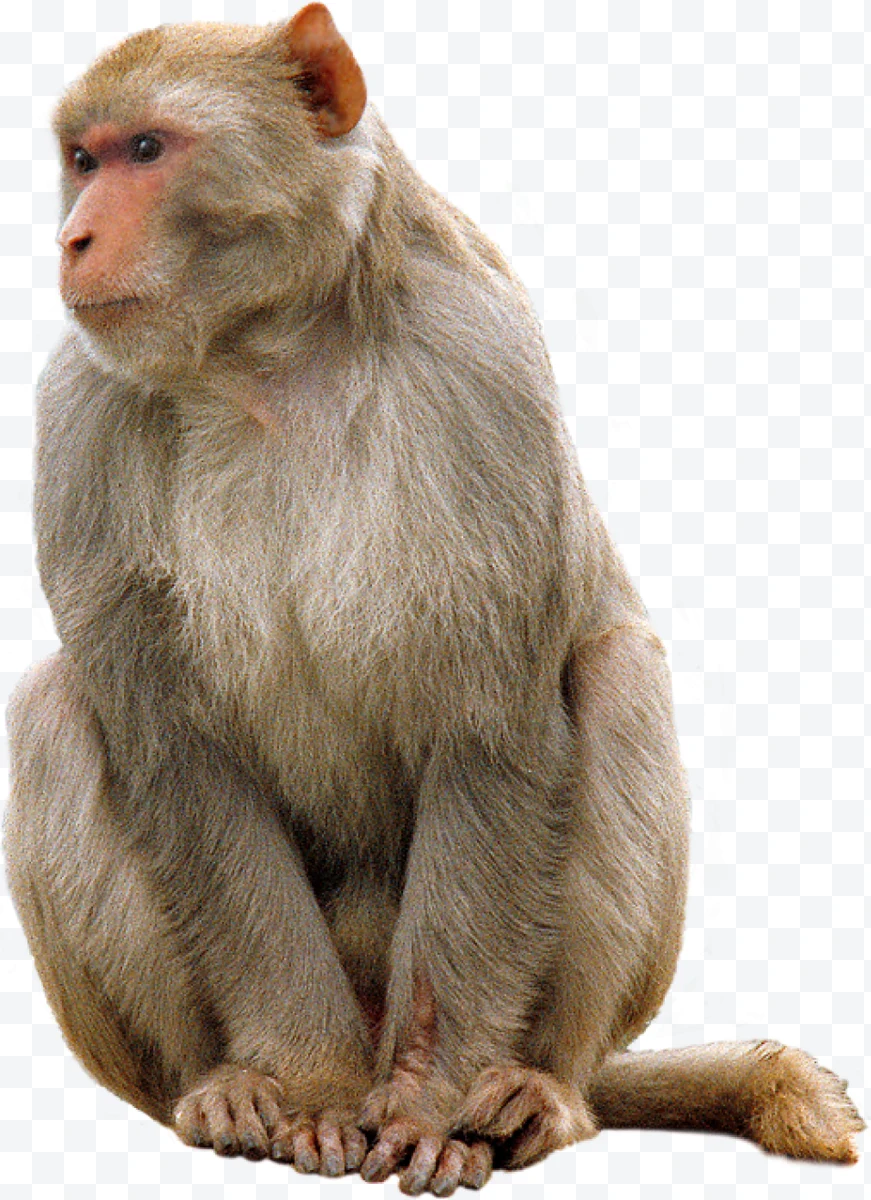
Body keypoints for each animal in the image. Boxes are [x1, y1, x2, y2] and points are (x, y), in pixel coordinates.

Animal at [3, 5, 863, 1195]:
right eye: (82, 161)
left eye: (145, 150)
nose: (73, 239)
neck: (268, 354)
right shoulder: (79, 412)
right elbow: (181, 759)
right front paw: (309, 1087)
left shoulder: (480, 375)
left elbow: (489, 732)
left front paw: (427, 1100)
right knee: (51, 710)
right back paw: (221, 1089)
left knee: (615, 675)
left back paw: (537, 1093)